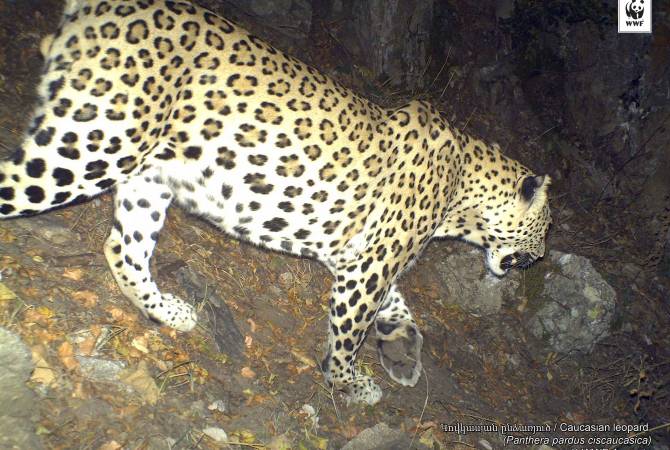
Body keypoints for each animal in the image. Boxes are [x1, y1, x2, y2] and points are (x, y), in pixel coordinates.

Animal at [0, 0, 552, 404]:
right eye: (545, 230)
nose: (541, 258)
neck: (465, 192)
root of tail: (100, 5)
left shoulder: (355, 255)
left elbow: (396, 304)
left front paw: (402, 351)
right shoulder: (369, 266)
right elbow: (352, 329)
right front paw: (349, 382)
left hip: (147, 177)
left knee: (123, 248)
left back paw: (171, 312)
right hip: (94, 145)